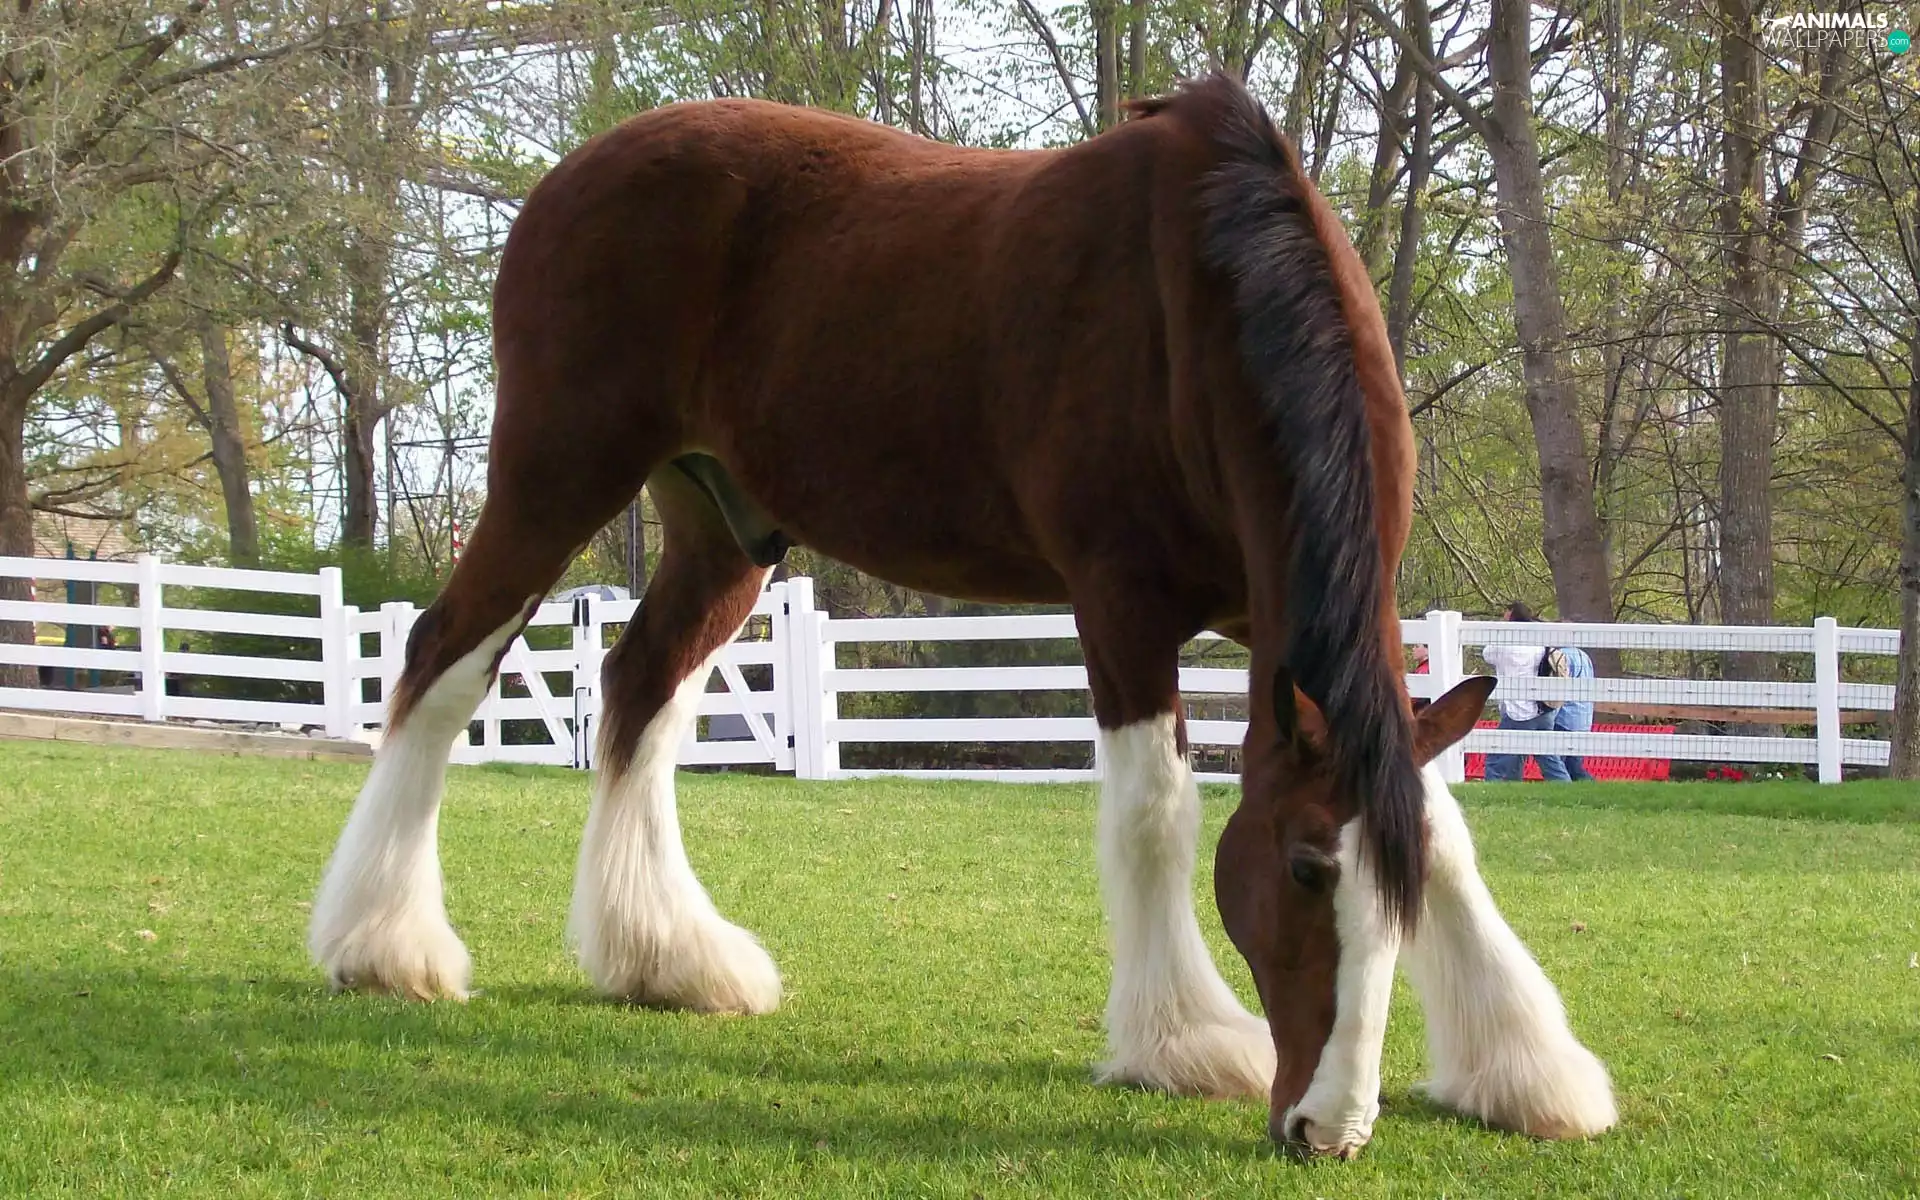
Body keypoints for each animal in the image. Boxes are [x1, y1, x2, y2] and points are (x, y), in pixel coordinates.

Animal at [307, 74, 1615, 1156]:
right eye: (1299, 871)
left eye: (1390, 898)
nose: (1326, 1130)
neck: (1202, 304)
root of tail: (574, 172)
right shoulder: (1121, 602)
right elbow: (1156, 813)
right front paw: (1185, 1042)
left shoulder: (1292, 627)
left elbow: (1440, 822)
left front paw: (1527, 1070)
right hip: (557, 469)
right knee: (444, 661)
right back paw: (384, 945)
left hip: (721, 525)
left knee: (641, 689)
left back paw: (668, 960)